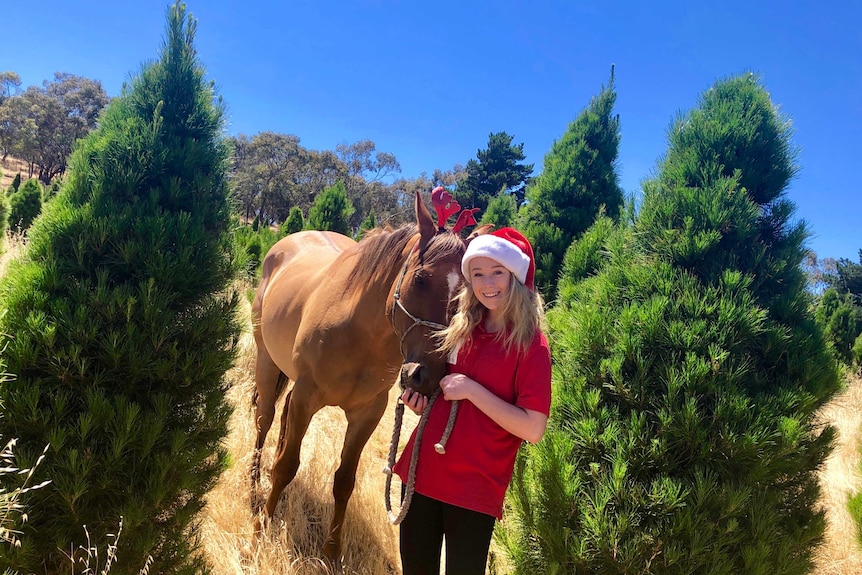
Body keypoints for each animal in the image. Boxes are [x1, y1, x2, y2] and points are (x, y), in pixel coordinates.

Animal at [250, 191, 466, 564]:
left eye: (465, 294)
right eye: (421, 279)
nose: (427, 375)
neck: (360, 333)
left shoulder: (368, 413)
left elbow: (344, 481)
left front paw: (332, 552)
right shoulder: (307, 396)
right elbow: (287, 465)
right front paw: (263, 527)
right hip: (266, 362)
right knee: (264, 420)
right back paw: (252, 487)